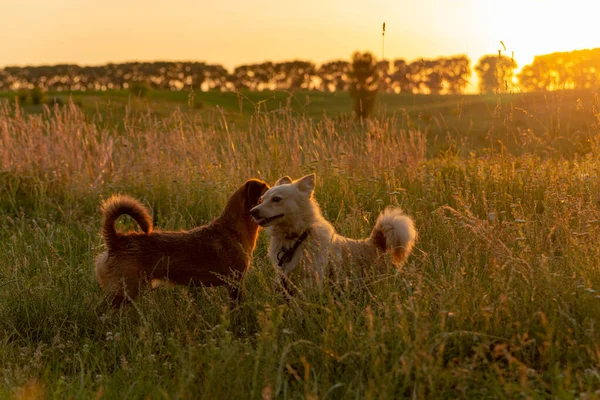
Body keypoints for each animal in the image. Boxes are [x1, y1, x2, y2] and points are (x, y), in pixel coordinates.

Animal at [248, 174, 418, 284]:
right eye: (261, 200)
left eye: (276, 199)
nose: (252, 212)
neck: (297, 238)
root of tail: (374, 242)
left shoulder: (312, 279)